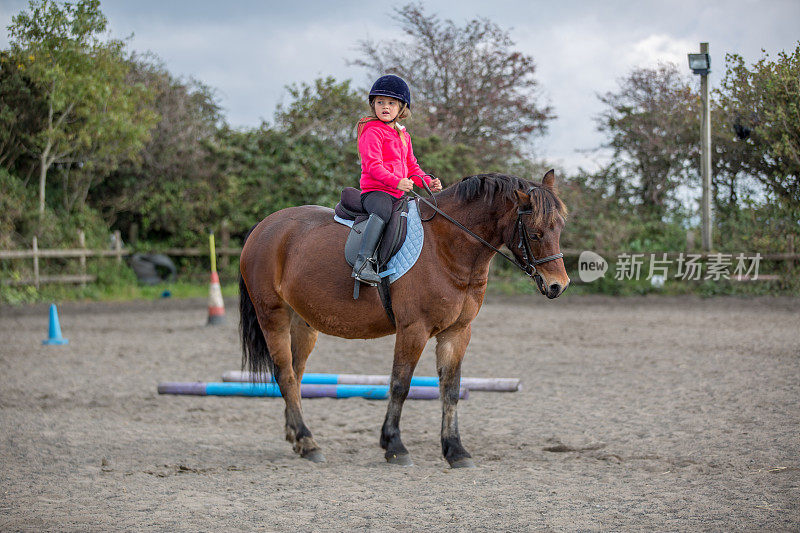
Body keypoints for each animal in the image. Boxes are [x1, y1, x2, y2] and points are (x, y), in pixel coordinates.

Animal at [238, 169, 568, 466]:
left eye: (560, 228)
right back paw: (308, 442)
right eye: (535, 233)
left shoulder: (458, 332)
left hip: (303, 323)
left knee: (296, 376)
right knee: (284, 374)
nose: (558, 286)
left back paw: (297, 437)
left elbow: (451, 390)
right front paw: (394, 446)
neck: (446, 247)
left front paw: (455, 450)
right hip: (273, 316)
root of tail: (264, 226)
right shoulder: (414, 329)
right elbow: (400, 384)